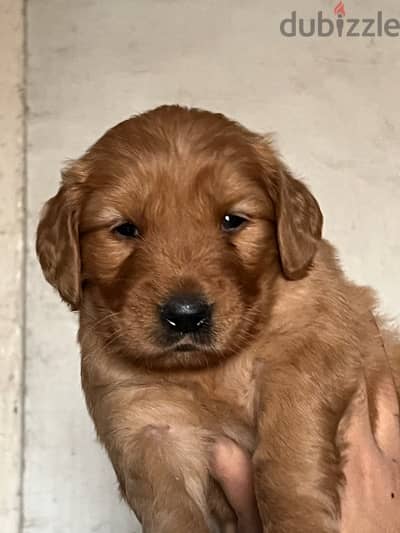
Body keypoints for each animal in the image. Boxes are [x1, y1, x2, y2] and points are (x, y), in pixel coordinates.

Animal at [36, 105, 400, 532]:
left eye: (232, 220)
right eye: (125, 229)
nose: (186, 315)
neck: (212, 369)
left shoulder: (314, 347)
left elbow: (286, 455)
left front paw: (298, 519)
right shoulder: (145, 424)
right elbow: (170, 511)